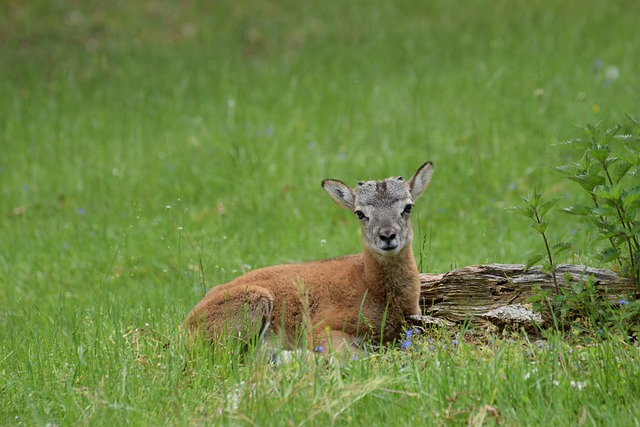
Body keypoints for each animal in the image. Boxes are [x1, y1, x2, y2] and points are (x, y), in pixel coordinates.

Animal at [186, 162, 436, 356]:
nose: (387, 236)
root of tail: (186, 327)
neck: (373, 289)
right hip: (253, 302)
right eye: (360, 213)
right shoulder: (323, 327)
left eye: (408, 206)